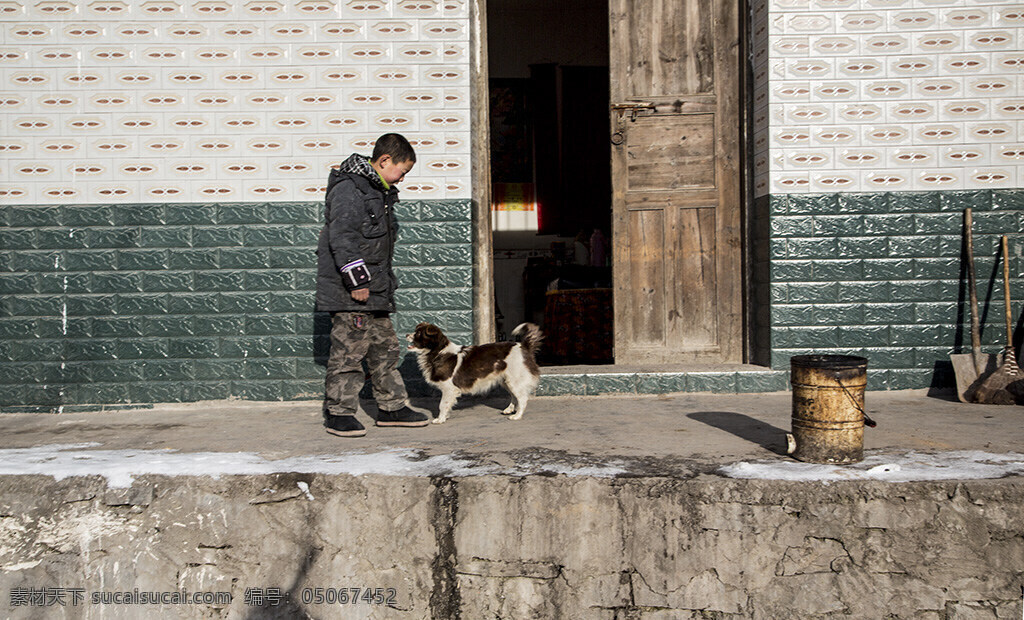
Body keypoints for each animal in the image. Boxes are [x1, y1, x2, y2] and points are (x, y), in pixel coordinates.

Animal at [405, 321, 544, 422]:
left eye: (418, 334)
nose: (406, 335)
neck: (437, 351)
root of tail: (524, 346)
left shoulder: (449, 388)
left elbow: (442, 404)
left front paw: (440, 419)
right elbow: (447, 404)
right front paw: (445, 416)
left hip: (514, 380)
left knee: (522, 398)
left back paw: (517, 415)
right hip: (506, 381)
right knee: (514, 396)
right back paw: (509, 409)